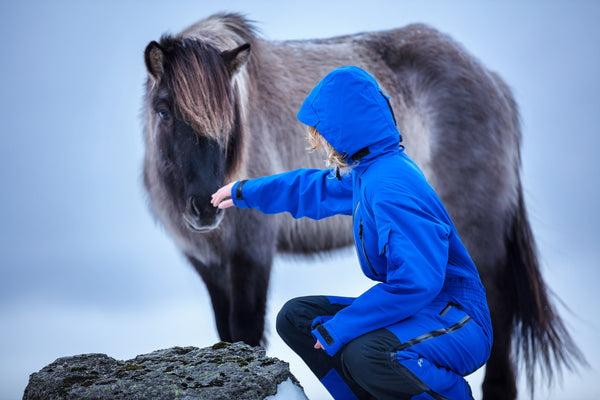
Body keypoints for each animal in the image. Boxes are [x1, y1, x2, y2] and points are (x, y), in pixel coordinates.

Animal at [141, 12, 580, 400]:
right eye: (163, 111)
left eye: (230, 120)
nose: (205, 207)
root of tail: (493, 81)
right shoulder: (210, 265)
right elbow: (226, 332)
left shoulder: (250, 255)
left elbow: (246, 330)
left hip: (480, 231)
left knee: (498, 305)